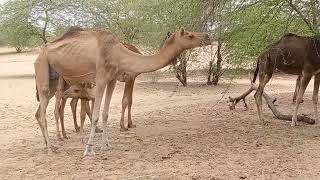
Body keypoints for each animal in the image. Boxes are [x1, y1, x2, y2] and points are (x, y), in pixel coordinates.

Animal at [33, 26, 211, 155]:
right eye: (189, 35)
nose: (208, 37)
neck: (117, 53)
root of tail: (40, 52)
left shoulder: (111, 80)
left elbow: (105, 113)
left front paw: (106, 145)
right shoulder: (101, 78)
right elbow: (96, 115)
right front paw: (89, 149)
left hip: (55, 78)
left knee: (41, 110)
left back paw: (50, 145)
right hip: (43, 69)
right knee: (44, 111)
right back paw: (50, 149)